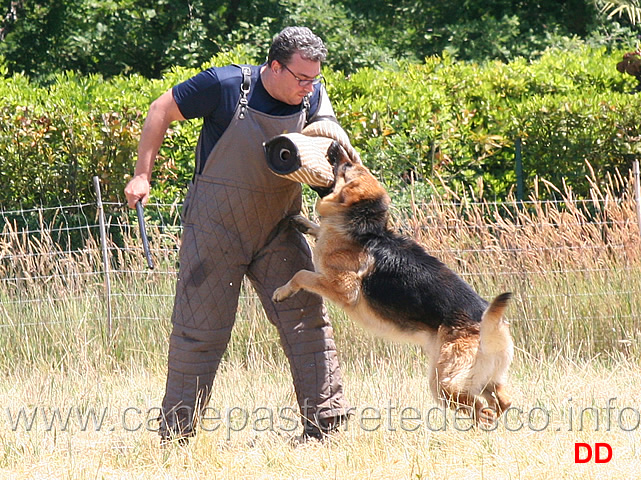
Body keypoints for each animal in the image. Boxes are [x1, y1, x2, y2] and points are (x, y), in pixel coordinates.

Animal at [272, 149, 512, 424]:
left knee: (481, 409)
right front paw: (302, 222)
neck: (363, 228)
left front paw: (282, 291)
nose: (335, 146)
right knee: (502, 400)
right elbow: (317, 230)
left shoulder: (342, 287)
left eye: (345, 166)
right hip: (483, 378)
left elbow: (301, 274)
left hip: (444, 383)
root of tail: (488, 321)